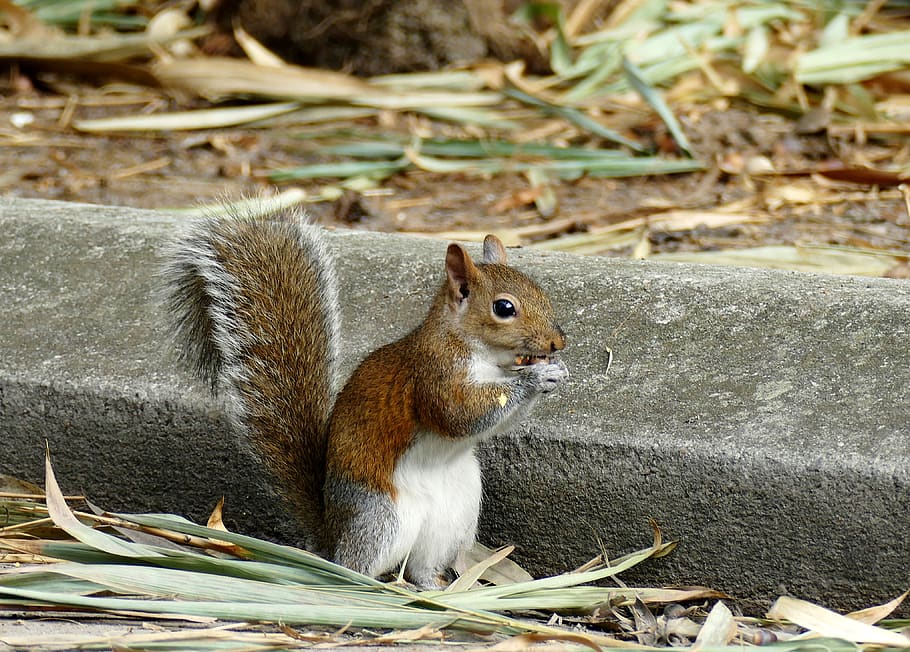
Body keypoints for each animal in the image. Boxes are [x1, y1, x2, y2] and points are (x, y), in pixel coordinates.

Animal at [162, 208, 568, 588]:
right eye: (504, 308)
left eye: (541, 291)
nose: (557, 343)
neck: (483, 356)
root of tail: (330, 533)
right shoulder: (433, 376)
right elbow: (461, 415)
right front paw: (535, 377)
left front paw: (555, 371)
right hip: (380, 518)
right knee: (353, 563)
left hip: (454, 514)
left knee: (420, 565)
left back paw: (432, 588)